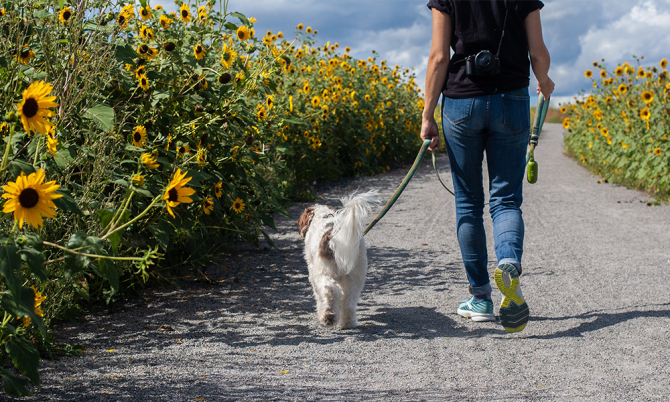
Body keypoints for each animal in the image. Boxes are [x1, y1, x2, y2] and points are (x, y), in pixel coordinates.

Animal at [296, 190, 380, 328]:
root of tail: (335, 235)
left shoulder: (313, 272)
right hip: (355, 275)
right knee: (349, 301)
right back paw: (347, 323)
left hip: (324, 272)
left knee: (330, 290)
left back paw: (328, 316)